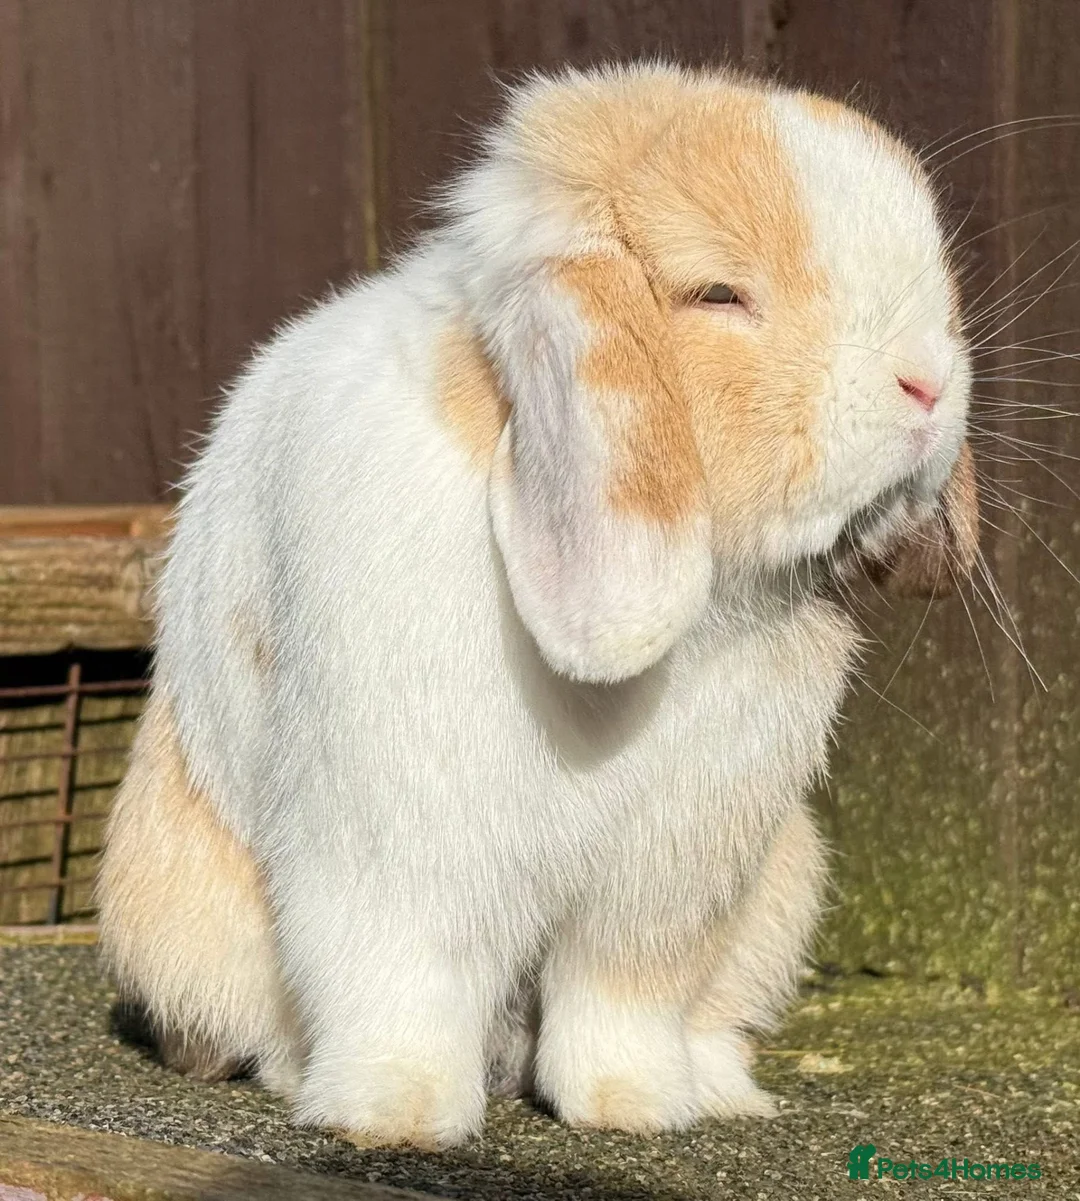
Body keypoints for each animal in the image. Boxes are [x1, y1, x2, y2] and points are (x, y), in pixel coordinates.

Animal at [96, 61, 979, 1148]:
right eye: (718, 292)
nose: (929, 384)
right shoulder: (399, 848)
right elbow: (405, 983)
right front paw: (398, 1115)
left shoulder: (668, 874)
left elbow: (619, 1000)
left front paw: (635, 1109)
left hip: (778, 887)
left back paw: (720, 1087)